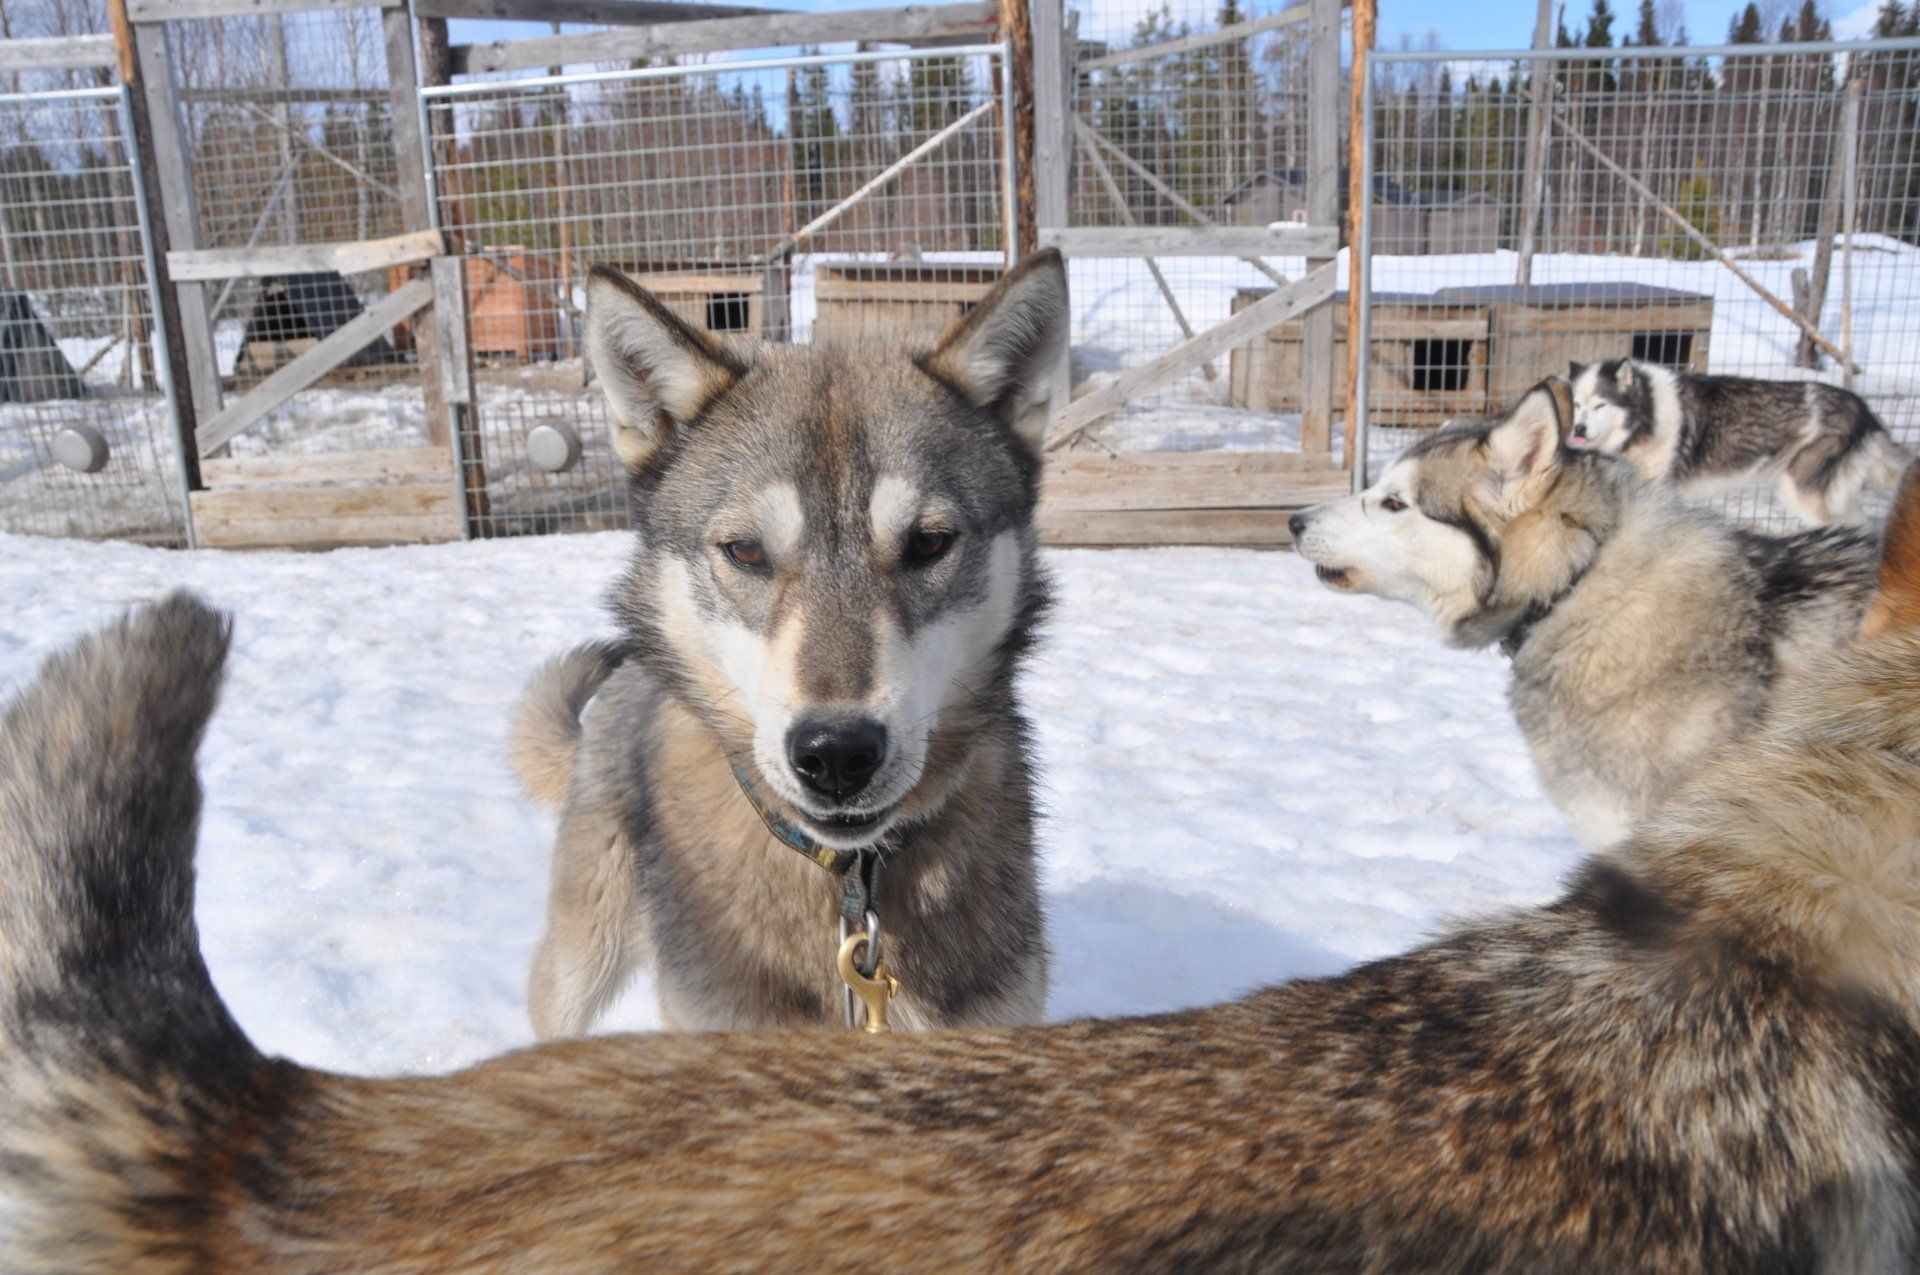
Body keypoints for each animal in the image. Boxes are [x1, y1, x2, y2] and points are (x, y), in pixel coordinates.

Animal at [1568, 357, 1909, 525]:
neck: (1648, 414)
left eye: (1600, 405)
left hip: (1804, 495)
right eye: (1577, 404)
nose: (1579, 430)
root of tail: (1861, 405)